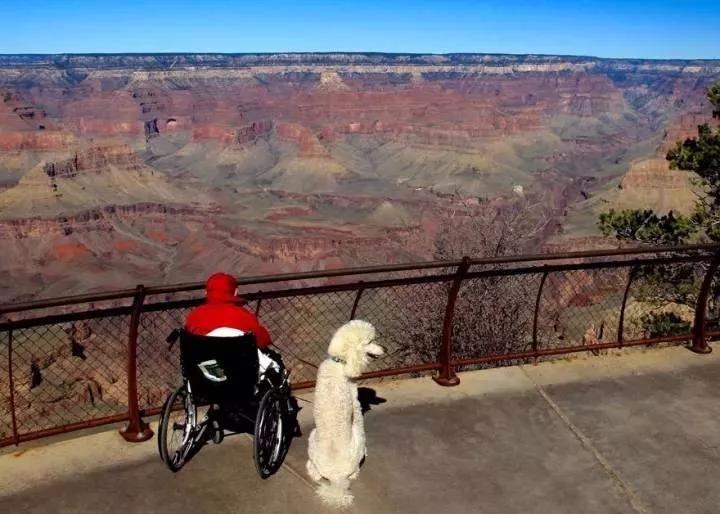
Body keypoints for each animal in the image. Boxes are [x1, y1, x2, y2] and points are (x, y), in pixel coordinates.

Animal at [306, 318, 386, 506]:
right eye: (370, 341)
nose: (386, 349)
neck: (340, 362)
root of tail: (336, 478)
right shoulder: (355, 403)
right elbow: (359, 419)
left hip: (312, 439)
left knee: (313, 470)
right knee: (355, 469)